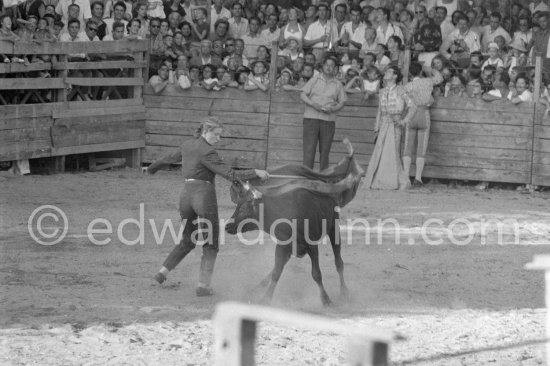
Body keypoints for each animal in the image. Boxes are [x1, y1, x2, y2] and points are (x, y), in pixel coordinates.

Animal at [226, 140, 364, 306]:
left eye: (244, 206)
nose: (227, 226)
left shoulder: (312, 246)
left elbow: (316, 274)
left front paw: (326, 300)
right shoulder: (282, 246)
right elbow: (276, 272)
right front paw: (266, 298)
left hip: (333, 227)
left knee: (339, 263)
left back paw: (344, 293)